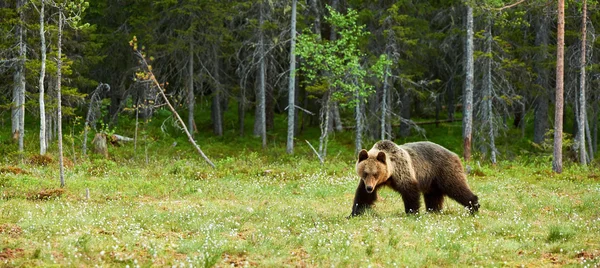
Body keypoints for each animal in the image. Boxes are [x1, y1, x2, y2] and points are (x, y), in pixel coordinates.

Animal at [350, 139, 480, 217]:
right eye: (365, 173)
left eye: (376, 174)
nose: (369, 188)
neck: (389, 176)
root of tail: (454, 154)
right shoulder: (371, 182)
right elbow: (362, 196)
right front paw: (354, 213)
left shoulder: (403, 171)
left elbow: (410, 192)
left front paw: (412, 212)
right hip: (432, 181)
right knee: (433, 196)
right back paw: (433, 210)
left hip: (444, 170)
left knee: (456, 187)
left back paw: (474, 206)